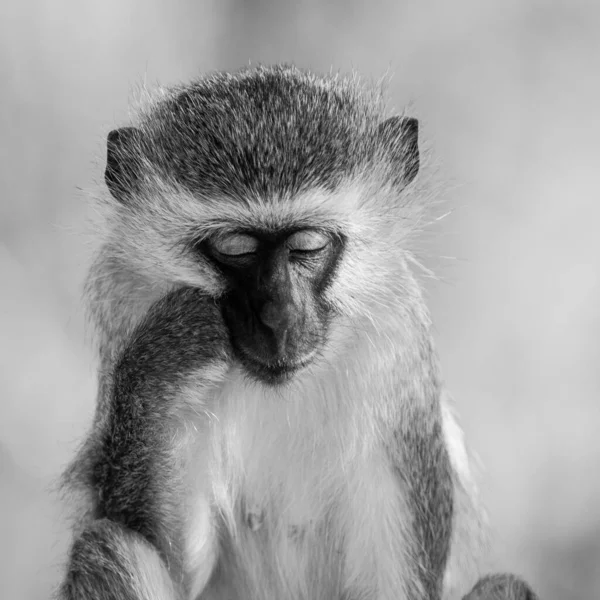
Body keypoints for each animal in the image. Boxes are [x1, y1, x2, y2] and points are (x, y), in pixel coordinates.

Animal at [57, 64, 540, 600]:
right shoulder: (125, 303)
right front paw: (167, 353)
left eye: (308, 244)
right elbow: (178, 559)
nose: (279, 315)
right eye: (236, 247)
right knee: (106, 546)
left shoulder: (399, 360)